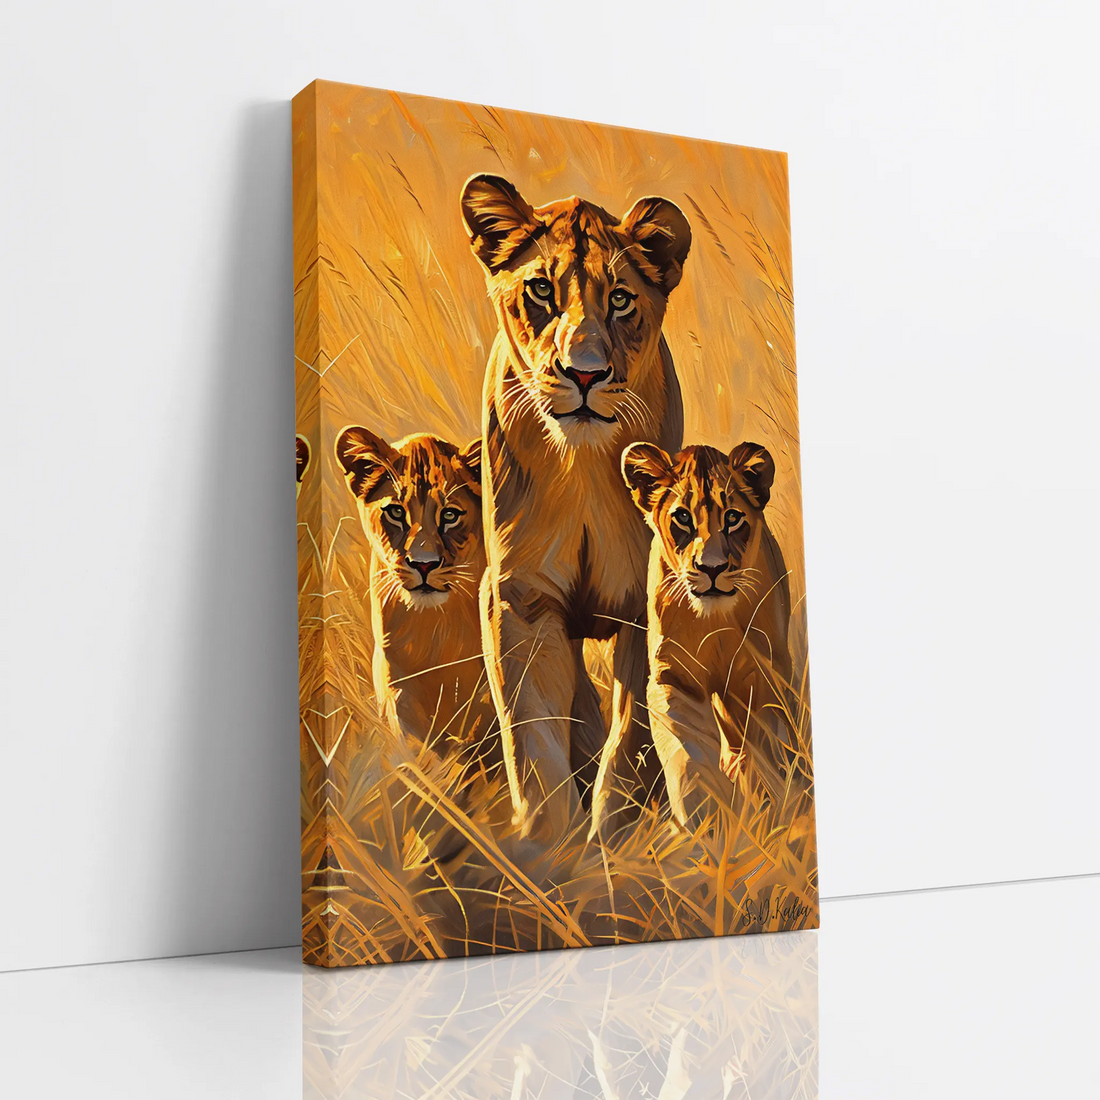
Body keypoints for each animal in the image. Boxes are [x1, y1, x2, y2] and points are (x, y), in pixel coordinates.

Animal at [460, 173, 692, 842]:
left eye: (620, 299)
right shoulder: (520, 597)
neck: (583, 468)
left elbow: (632, 736)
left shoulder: (644, 604)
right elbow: (533, 736)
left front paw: (613, 840)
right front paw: (549, 848)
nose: (584, 374)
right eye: (541, 289)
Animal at [621, 440, 795, 828]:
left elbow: (762, 744)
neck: (714, 623)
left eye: (732, 518)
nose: (711, 568)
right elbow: (688, 752)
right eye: (682, 517)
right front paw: (705, 817)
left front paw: (768, 801)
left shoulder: (760, 674)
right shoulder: (673, 676)